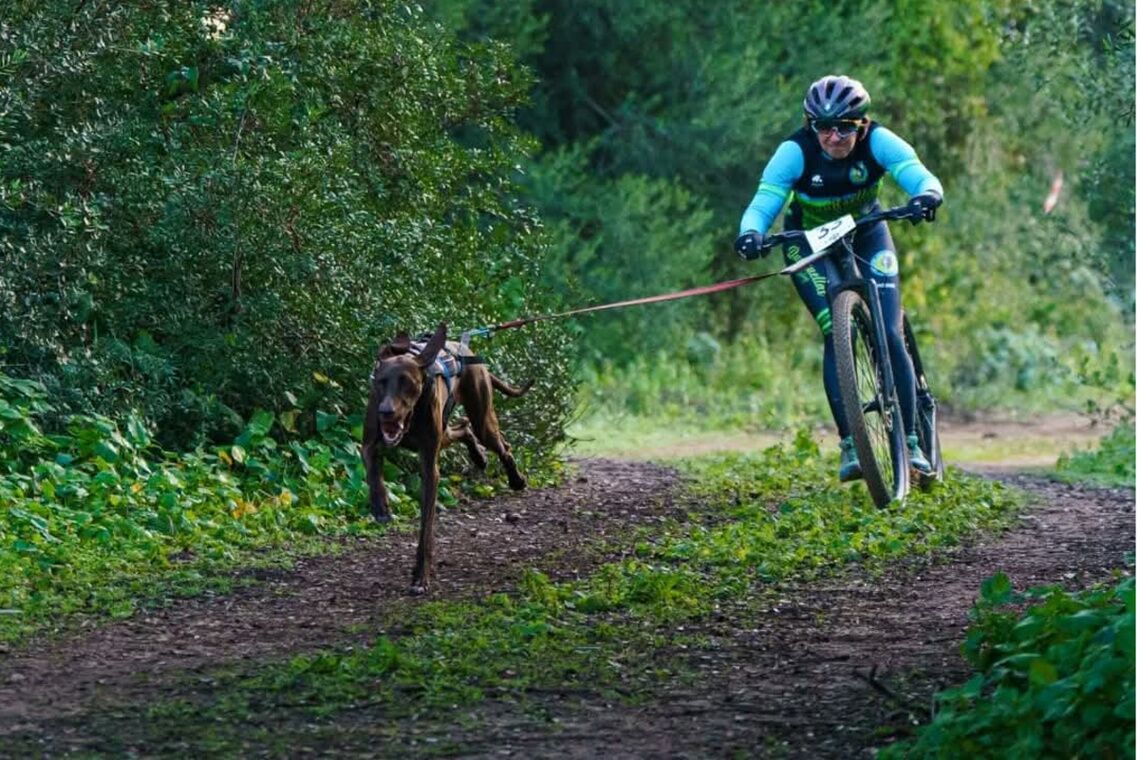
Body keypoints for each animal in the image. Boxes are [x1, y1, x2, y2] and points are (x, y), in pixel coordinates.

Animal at [360, 321, 528, 592]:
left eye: (407, 382)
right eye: (382, 381)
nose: (386, 412)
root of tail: (466, 349)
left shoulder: (430, 467)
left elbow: (426, 529)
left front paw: (421, 576)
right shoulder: (369, 444)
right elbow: (373, 473)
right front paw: (381, 507)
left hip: (482, 418)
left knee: (501, 444)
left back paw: (515, 478)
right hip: (449, 426)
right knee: (464, 428)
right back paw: (479, 457)